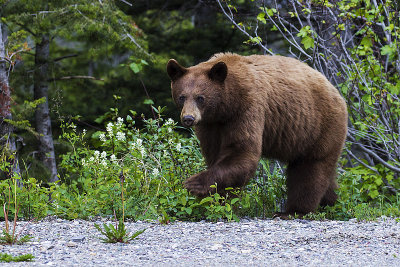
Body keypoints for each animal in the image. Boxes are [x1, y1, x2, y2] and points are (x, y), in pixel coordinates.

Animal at [166, 52, 346, 218]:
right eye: (182, 97)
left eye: (200, 98)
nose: (189, 118)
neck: (226, 105)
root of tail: (336, 92)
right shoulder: (210, 124)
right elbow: (215, 154)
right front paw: (220, 200)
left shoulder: (247, 107)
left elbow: (242, 152)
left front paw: (194, 183)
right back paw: (331, 203)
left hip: (319, 127)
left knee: (309, 170)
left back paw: (293, 211)